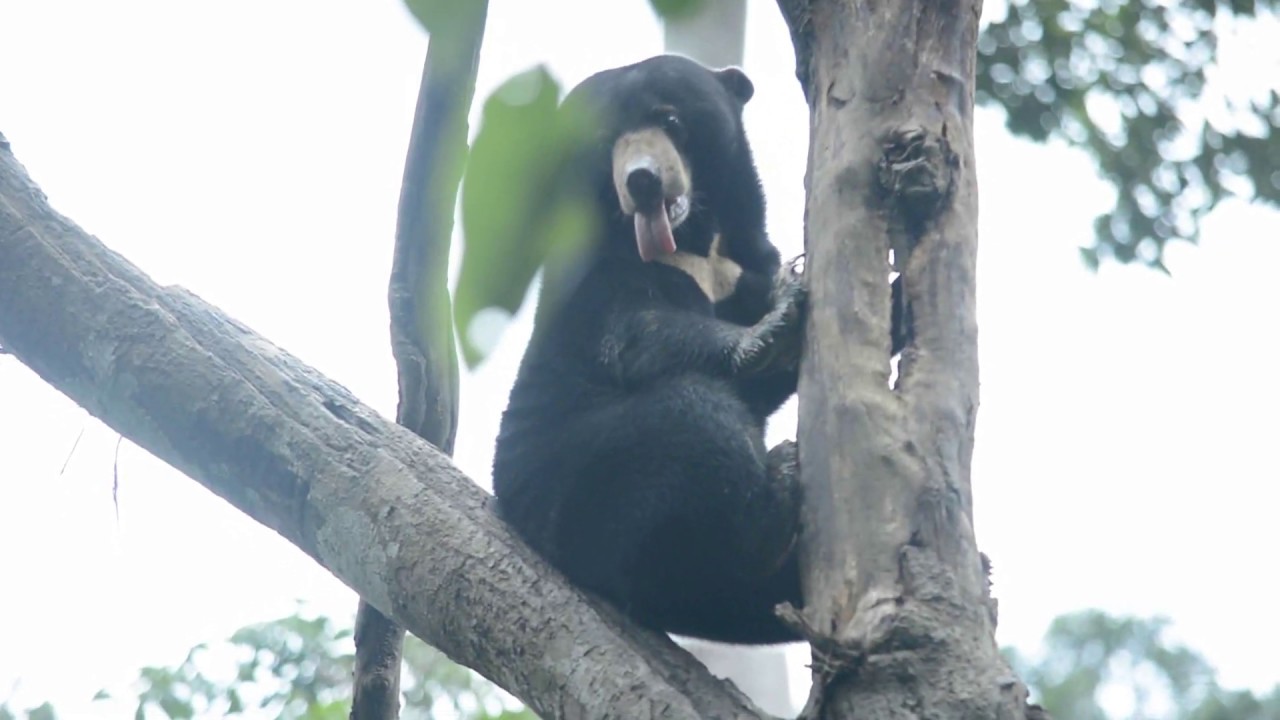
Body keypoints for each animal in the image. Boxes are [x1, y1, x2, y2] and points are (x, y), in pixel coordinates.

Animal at [491, 54, 806, 645]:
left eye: (671, 119)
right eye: (602, 143)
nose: (640, 181)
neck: (698, 245)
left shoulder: (747, 267)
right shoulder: (596, 278)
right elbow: (638, 334)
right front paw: (774, 329)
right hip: (582, 488)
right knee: (695, 419)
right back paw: (779, 488)